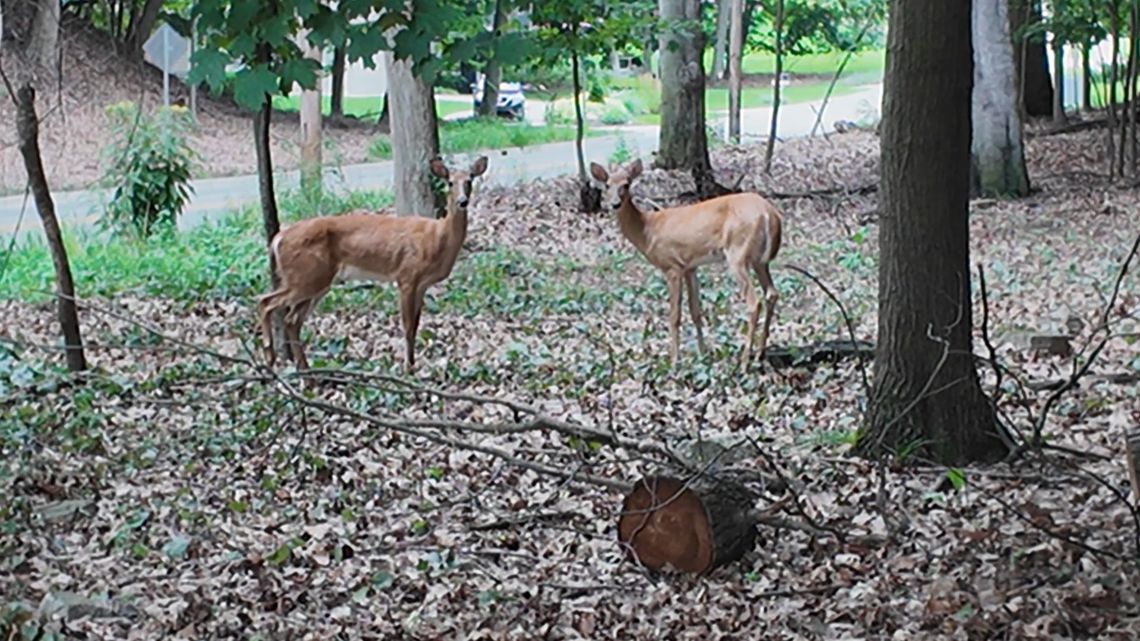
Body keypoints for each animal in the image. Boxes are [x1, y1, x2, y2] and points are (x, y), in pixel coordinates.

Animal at [257, 156, 489, 372]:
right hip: (305, 277)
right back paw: (269, 354)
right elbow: (407, 326)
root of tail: (277, 239)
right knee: (266, 301)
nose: (462, 201)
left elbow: (416, 324)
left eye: (469, 180)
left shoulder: (422, 284)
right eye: (450, 182)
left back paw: (305, 371)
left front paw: (412, 365)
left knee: (291, 320)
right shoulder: (406, 276)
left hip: (316, 281)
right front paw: (407, 368)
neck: (437, 238)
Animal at [590, 158, 783, 366]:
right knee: (772, 293)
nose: (615, 204)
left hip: (737, 253)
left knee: (754, 303)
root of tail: (769, 214)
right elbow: (695, 310)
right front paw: (703, 354)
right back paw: (760, 353)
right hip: (760, 261)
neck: (647, 231)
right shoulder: (691, 267)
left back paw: (744, 361)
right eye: (607, 185)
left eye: (626, 184)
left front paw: (675, 360)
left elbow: (675, 315)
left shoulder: (672, 266)